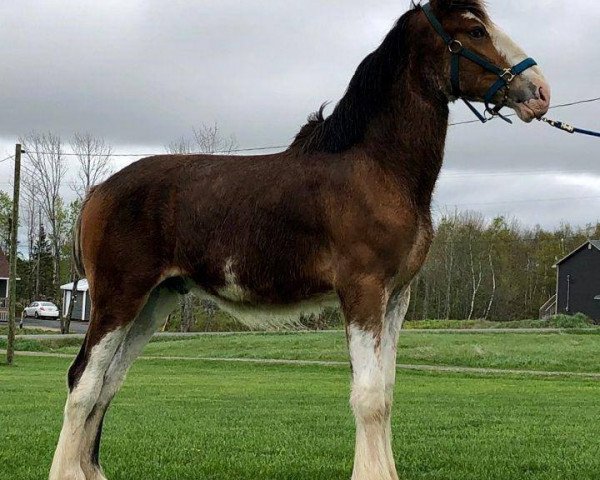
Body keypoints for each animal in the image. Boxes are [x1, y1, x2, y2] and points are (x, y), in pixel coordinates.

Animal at [49, 1, 552, 478]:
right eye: (476, 31)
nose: (540, 93)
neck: (379, 169)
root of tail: (99, 191)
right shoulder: (363, 291)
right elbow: (369, 397)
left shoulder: (396, 299)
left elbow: (386, 393)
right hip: (118, 300)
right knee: (84, 382)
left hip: (155, 302)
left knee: (109, 384)